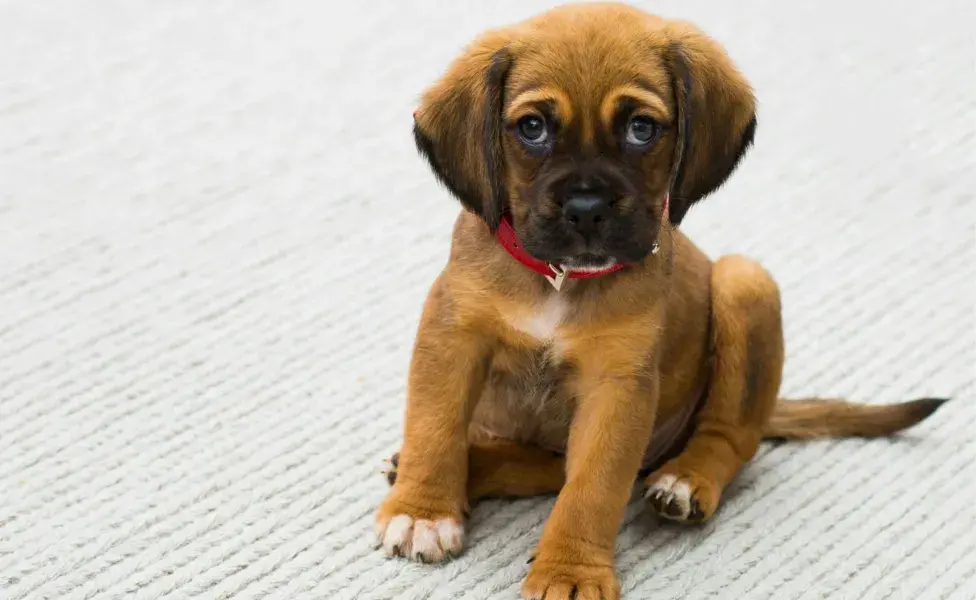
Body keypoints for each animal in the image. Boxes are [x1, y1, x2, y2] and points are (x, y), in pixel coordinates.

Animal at [374, 3, 944, 596]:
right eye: (532, 128)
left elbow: (594, 488)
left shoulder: (617, 387)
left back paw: (687, 480)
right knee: (546, 465)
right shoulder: (451, 338)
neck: (559, 280)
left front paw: (570, 569)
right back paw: (466, 467)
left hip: (745, 282)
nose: (586, 209)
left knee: (731, 436)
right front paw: (423, 511)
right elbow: (435, 428)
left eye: (640, 129)